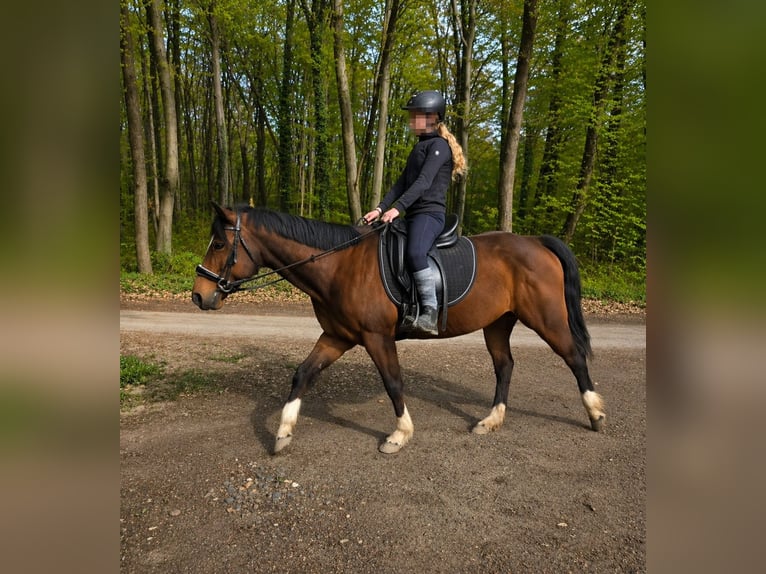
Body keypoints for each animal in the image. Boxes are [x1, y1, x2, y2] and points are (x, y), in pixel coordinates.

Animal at [192, 203, 605, 454]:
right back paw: (491, 420)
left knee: (574, 357)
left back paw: (595, 414)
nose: (199, 295)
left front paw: (400, 433)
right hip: (497, 323)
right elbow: (303, 374)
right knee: (505, 366)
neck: (339, 265)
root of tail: (535, 242)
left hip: (546, 318)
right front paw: (283, 433)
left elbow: (393, 382)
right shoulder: (338, 337)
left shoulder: (376, 337)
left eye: (219, 243)